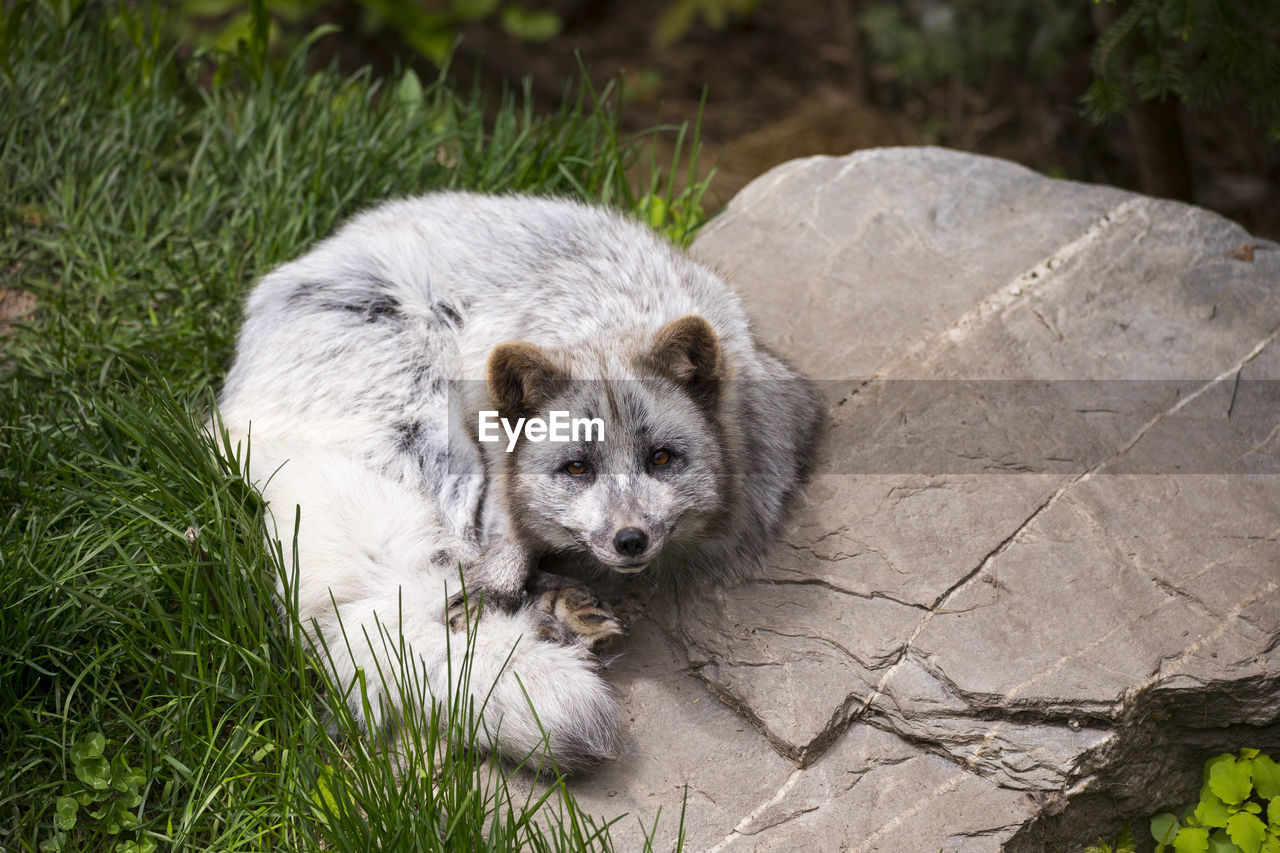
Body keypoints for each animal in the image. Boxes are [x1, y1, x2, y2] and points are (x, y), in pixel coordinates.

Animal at [217, 190, 819, 763]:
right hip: (433, 430)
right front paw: (518, 587)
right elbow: (496, 546)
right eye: (577, 467)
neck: (604, 315)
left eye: (662, 459)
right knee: (448, 566)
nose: (629, 540)